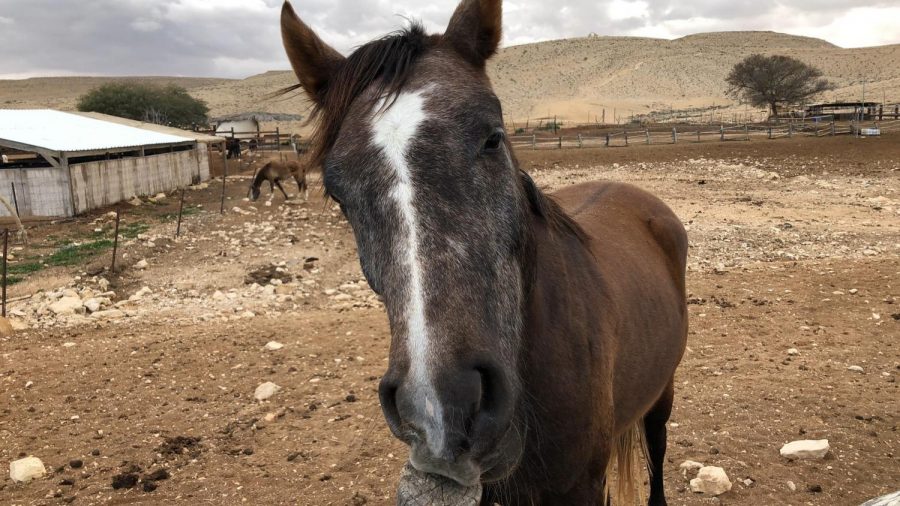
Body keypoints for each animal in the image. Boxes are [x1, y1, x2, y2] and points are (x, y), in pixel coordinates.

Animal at [282, 1, 688, 504]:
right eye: (336, 191)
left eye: (493, 138)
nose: (443, 411)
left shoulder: (582, 486)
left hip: (663, 392)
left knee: (658, 449)